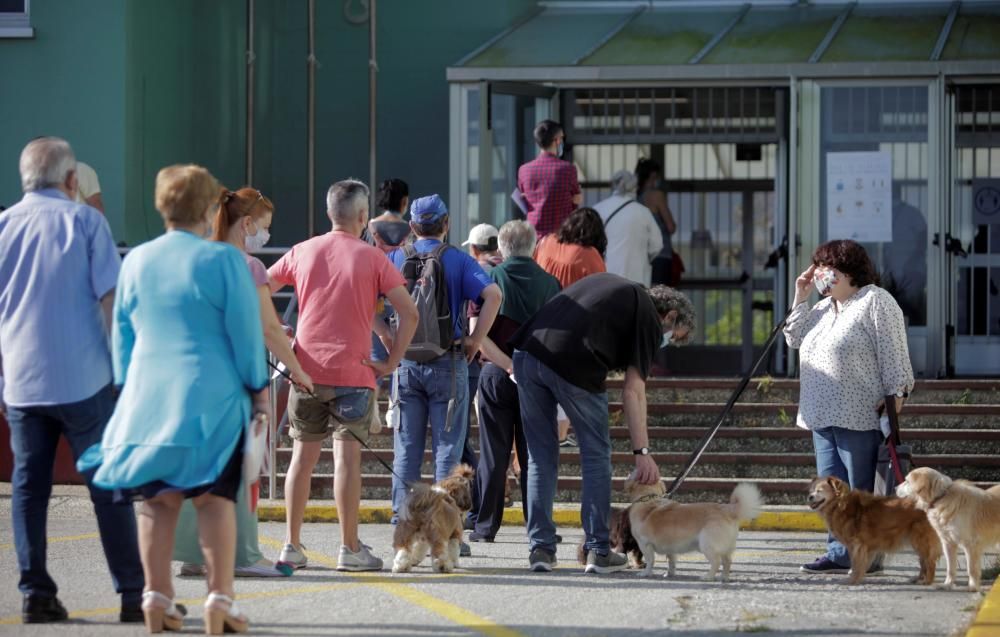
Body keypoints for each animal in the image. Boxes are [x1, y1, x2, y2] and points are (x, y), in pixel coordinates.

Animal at [620, 474, 760, 580]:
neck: (648, 499)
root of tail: (728, 510)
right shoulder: (671, 548)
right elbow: (671, 561)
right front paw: (670, 573)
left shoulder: (645, 545)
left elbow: (650, 561)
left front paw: (645, 573)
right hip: (725, 548)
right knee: (727, 562)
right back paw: (724, 578)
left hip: (707, 545)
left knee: (716, 562)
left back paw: (708, 577)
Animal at [808, 474, 940, 584]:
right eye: (812, 490)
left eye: (819, 490)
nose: (810, 497)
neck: (840, 504)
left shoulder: (857, 545)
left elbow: (856, 564)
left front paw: (852, 580)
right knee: (923, 561)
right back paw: (918, 578)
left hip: (921, 540)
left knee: (930, 562)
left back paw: (927, 581)